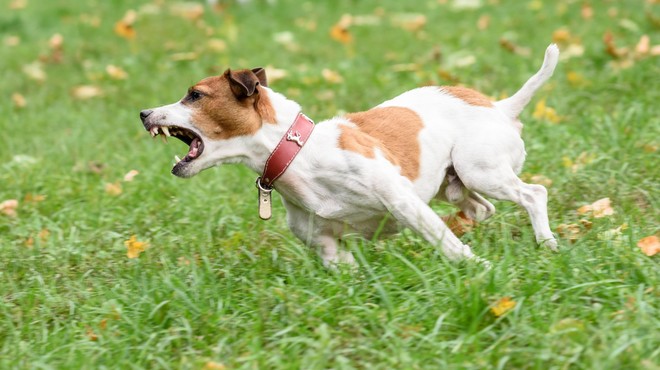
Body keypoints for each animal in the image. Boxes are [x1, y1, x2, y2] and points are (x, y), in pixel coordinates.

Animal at [142, 44, 560, 268]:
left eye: (194, 95)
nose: (144, 113)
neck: (297, 156)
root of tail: (500, 107)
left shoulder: (403, 201)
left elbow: (447, 244)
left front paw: (480, 268)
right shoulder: (326, 247)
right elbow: (346, 269)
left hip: (479, 170)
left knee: (533, 194)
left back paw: (547, 243)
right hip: (454, 186)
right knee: (481, 208)